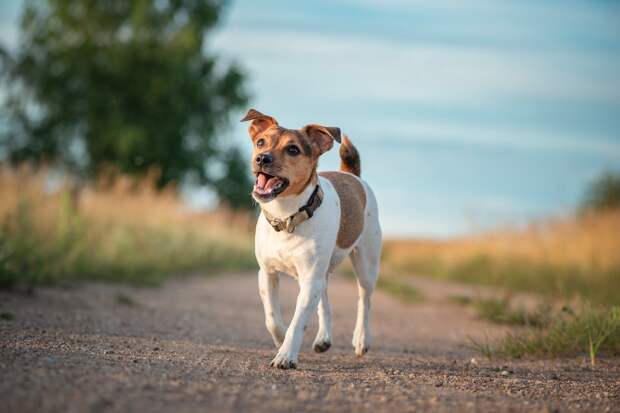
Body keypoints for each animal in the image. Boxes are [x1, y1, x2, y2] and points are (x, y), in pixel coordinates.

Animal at [240, 108, 380, 368]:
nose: (262, 158)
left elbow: (298, 321)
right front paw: (281, 338)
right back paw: (323, 338)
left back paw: (361, 339)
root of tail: (351, 174)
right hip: (319, 273)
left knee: (364, 301)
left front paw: (286, 355)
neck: (286, 218)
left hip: (366, 264)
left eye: (293, 149)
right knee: (324, 299)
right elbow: (271, 317)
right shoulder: (267, 273)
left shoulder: (309, 279)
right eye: (260, 142)